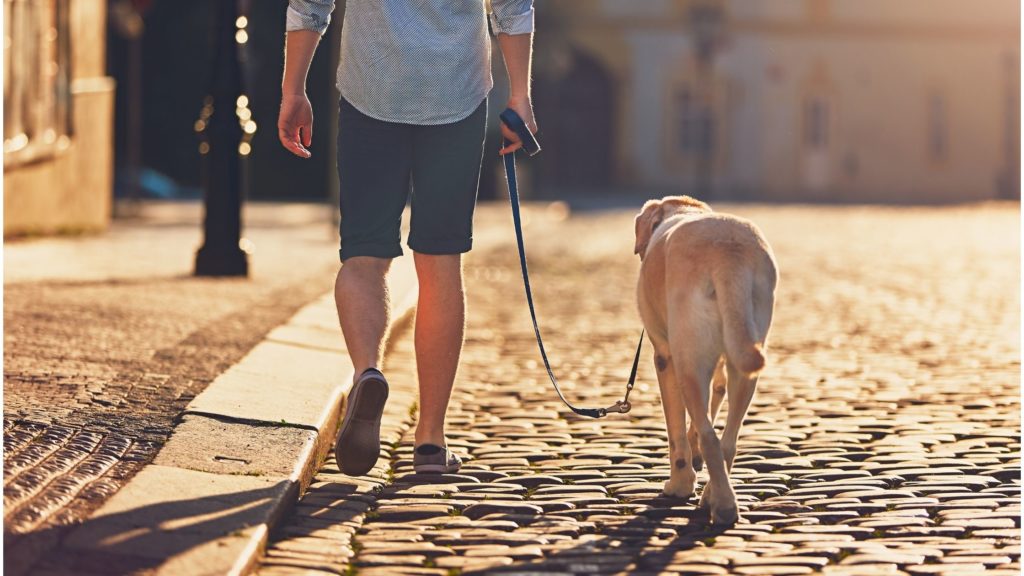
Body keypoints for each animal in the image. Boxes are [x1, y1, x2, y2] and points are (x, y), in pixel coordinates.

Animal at [630, 194, 774, 522]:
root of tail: (727, 252)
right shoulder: (717, 367)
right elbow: (708, 408)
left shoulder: (665, 358)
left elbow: (676, 432)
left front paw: (680, 483)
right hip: (744, 359)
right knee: (728, 439)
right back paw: (715, 495)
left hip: (688, 362)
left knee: (710, 435)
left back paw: (720, 505)